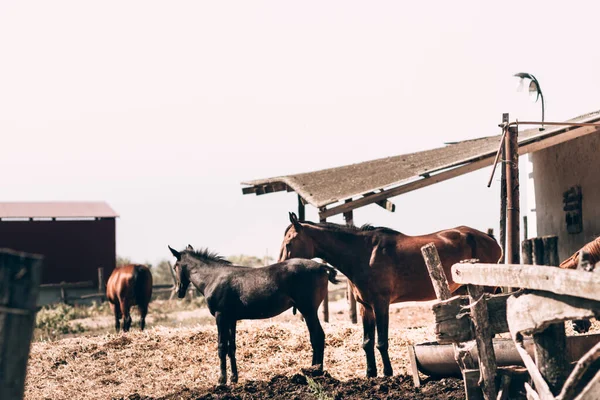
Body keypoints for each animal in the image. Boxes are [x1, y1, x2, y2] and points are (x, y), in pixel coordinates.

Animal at [280, 212, 502, 378]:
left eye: (289, 244)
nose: (282, 267)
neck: (363, 254)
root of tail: (489, 238)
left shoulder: (381, 304)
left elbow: (381, 342)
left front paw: (387, 373)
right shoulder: (365, 307)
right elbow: (367, 342)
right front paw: (370, 374)